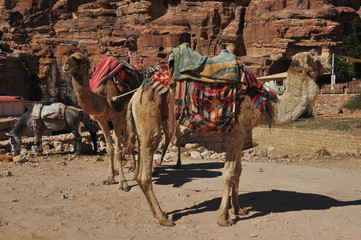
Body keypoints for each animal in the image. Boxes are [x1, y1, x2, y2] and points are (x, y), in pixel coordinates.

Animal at [63, 53, 141, 191]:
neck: (102, 100)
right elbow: (110, 149)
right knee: (127, 136)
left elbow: (117, 150)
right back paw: (128, 165)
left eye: (80, 59)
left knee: (132, 135)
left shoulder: (116, 117)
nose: (66, 64)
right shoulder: (102, 120)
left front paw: (123, 183)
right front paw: (110, 178)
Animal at [126, 45, 330, 227]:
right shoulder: (236, 133)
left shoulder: (242, 134)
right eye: (316, 58)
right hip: (150, 123)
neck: (266, 104)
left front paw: (239, 209)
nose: (330, 64)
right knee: (145, 172)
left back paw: (156, 212)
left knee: (139, 169)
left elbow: (238, 171)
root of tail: (135, 97)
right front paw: (224, 217)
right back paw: (163, 217)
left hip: (142, 128)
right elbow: (229, 173)